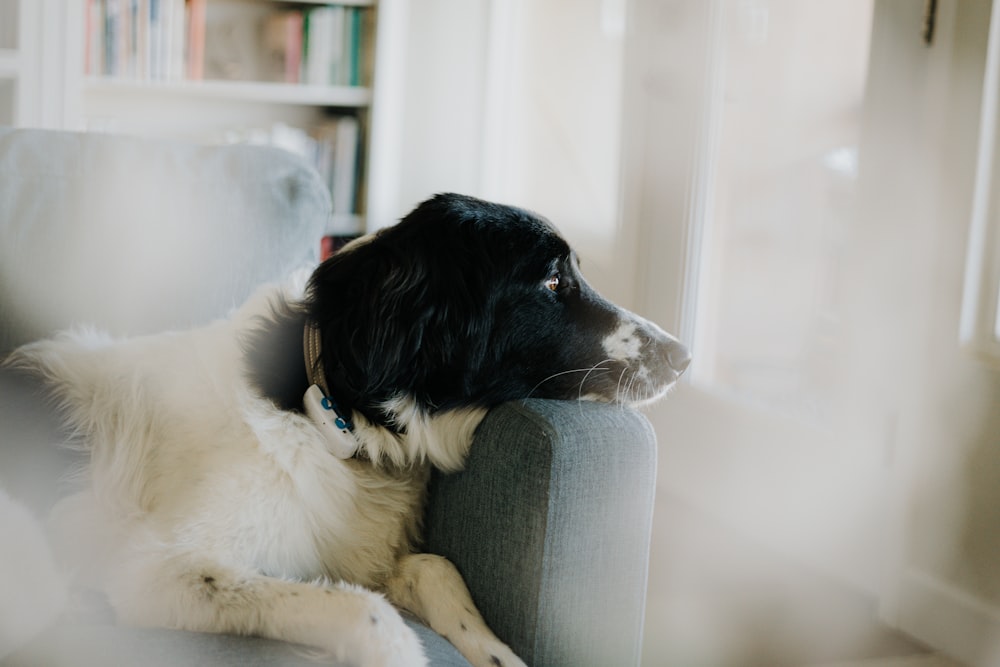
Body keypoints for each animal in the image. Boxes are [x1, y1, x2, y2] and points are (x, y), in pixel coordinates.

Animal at [7, 194, 692, 667]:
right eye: (551, 281)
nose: (685, 356)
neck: (337, 412)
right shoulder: (156, 570)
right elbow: (367, 612)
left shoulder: (363, 552)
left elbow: (433, 568)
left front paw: (495, 653)